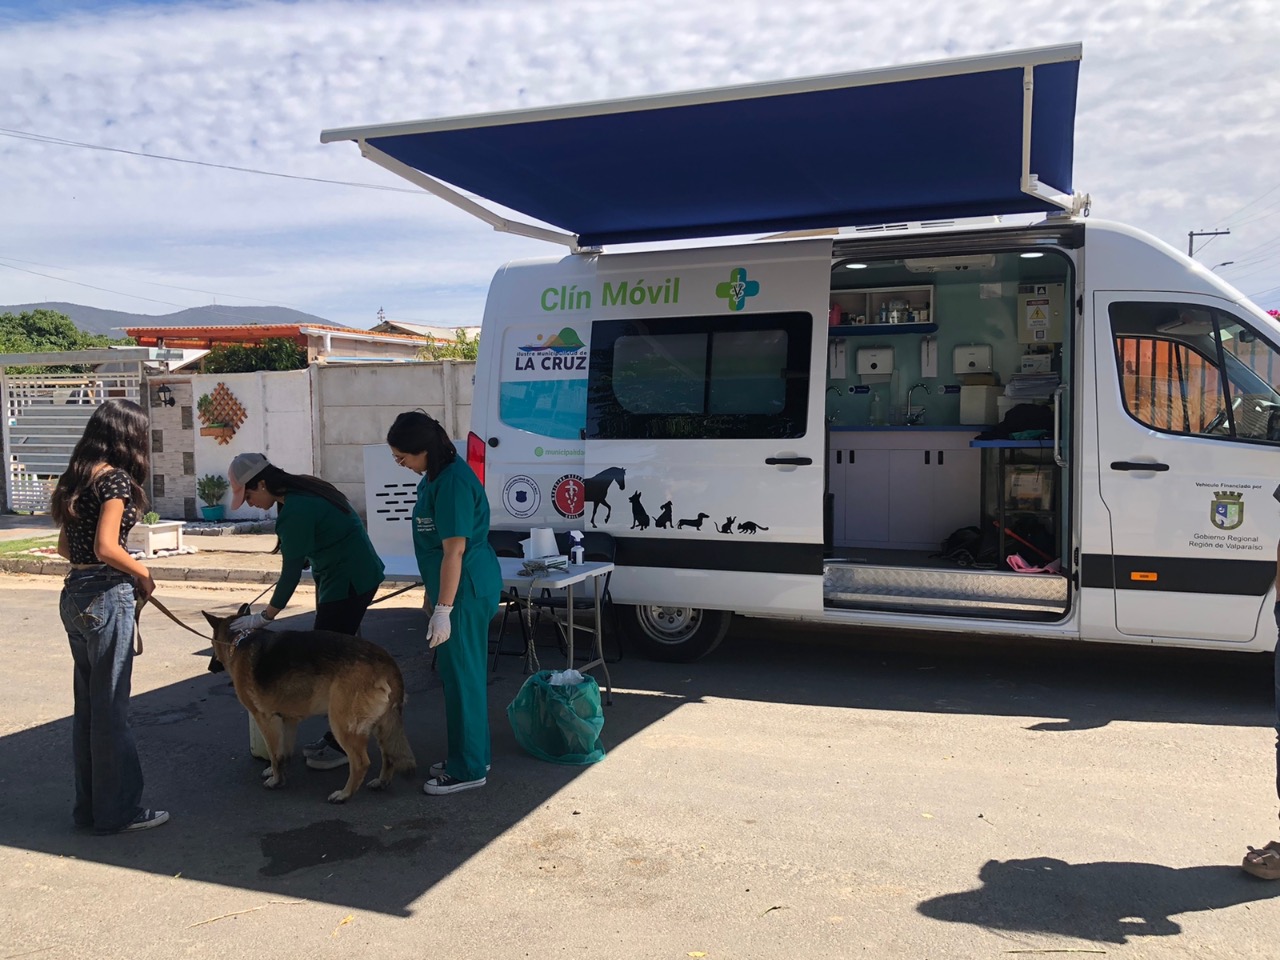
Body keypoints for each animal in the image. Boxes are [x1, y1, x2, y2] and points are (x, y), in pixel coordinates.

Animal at [200, 616, 414, 803]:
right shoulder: (288, 720)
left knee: (361, 763)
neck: (239, 640)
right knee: (389, 756)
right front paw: (277, 771)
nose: (210, 668)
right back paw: (381, 782)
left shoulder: (265, 719)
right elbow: (283, 752)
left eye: (212, 643)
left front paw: (276, 780)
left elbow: (274, 753)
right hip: (382, 727)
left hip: (342, 724)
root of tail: (386, 661)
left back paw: (344, 795)